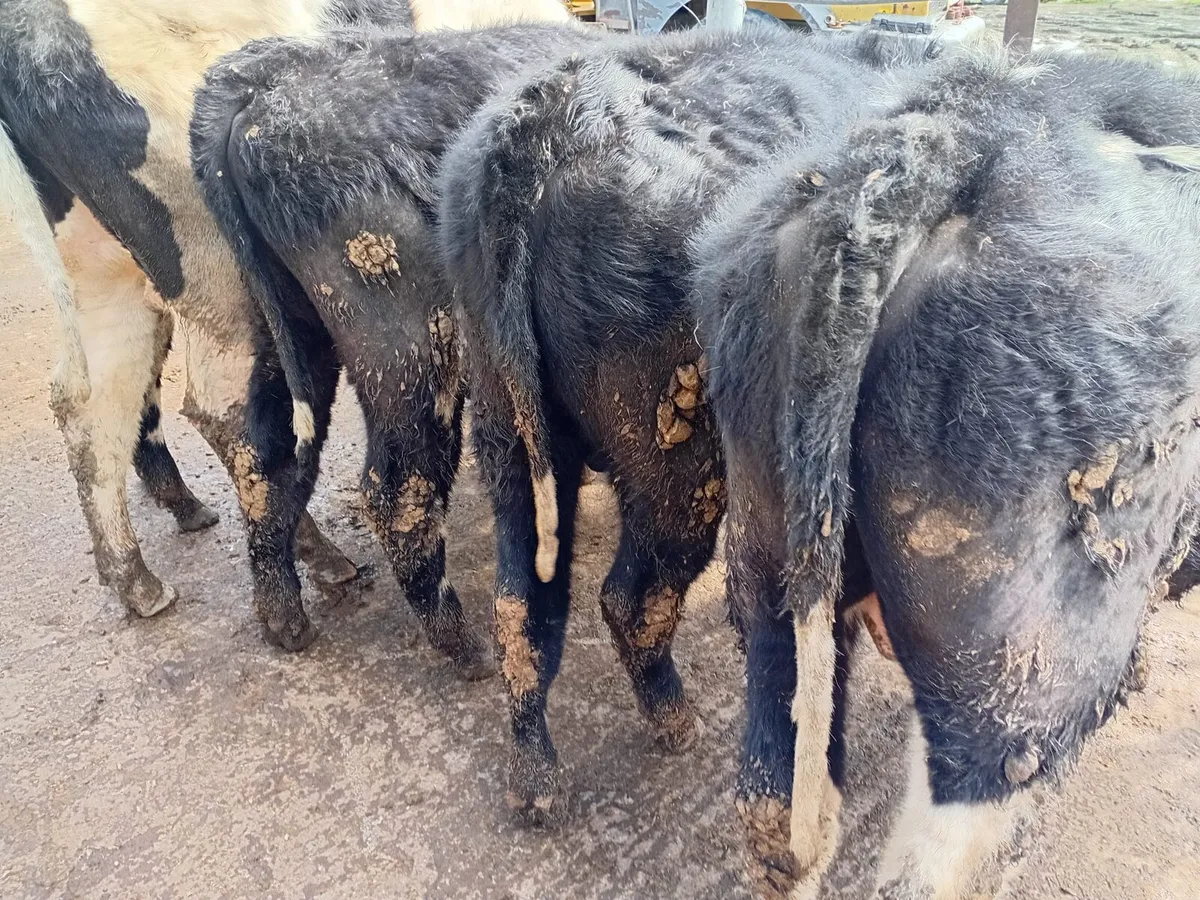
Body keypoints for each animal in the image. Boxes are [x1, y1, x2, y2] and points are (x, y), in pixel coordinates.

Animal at [189, 21, 601, 670]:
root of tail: (258, 82)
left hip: (286, 332)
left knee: (266, 458)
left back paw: (286, 621)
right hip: (410, 350)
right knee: (396, 491)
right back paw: (464, 650)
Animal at [435, 27, 945, 824]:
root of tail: (547, 123)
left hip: (505, 426)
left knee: (522, 604)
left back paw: (536, 780)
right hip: (679, 470)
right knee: (631, 598)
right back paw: (674, 722)